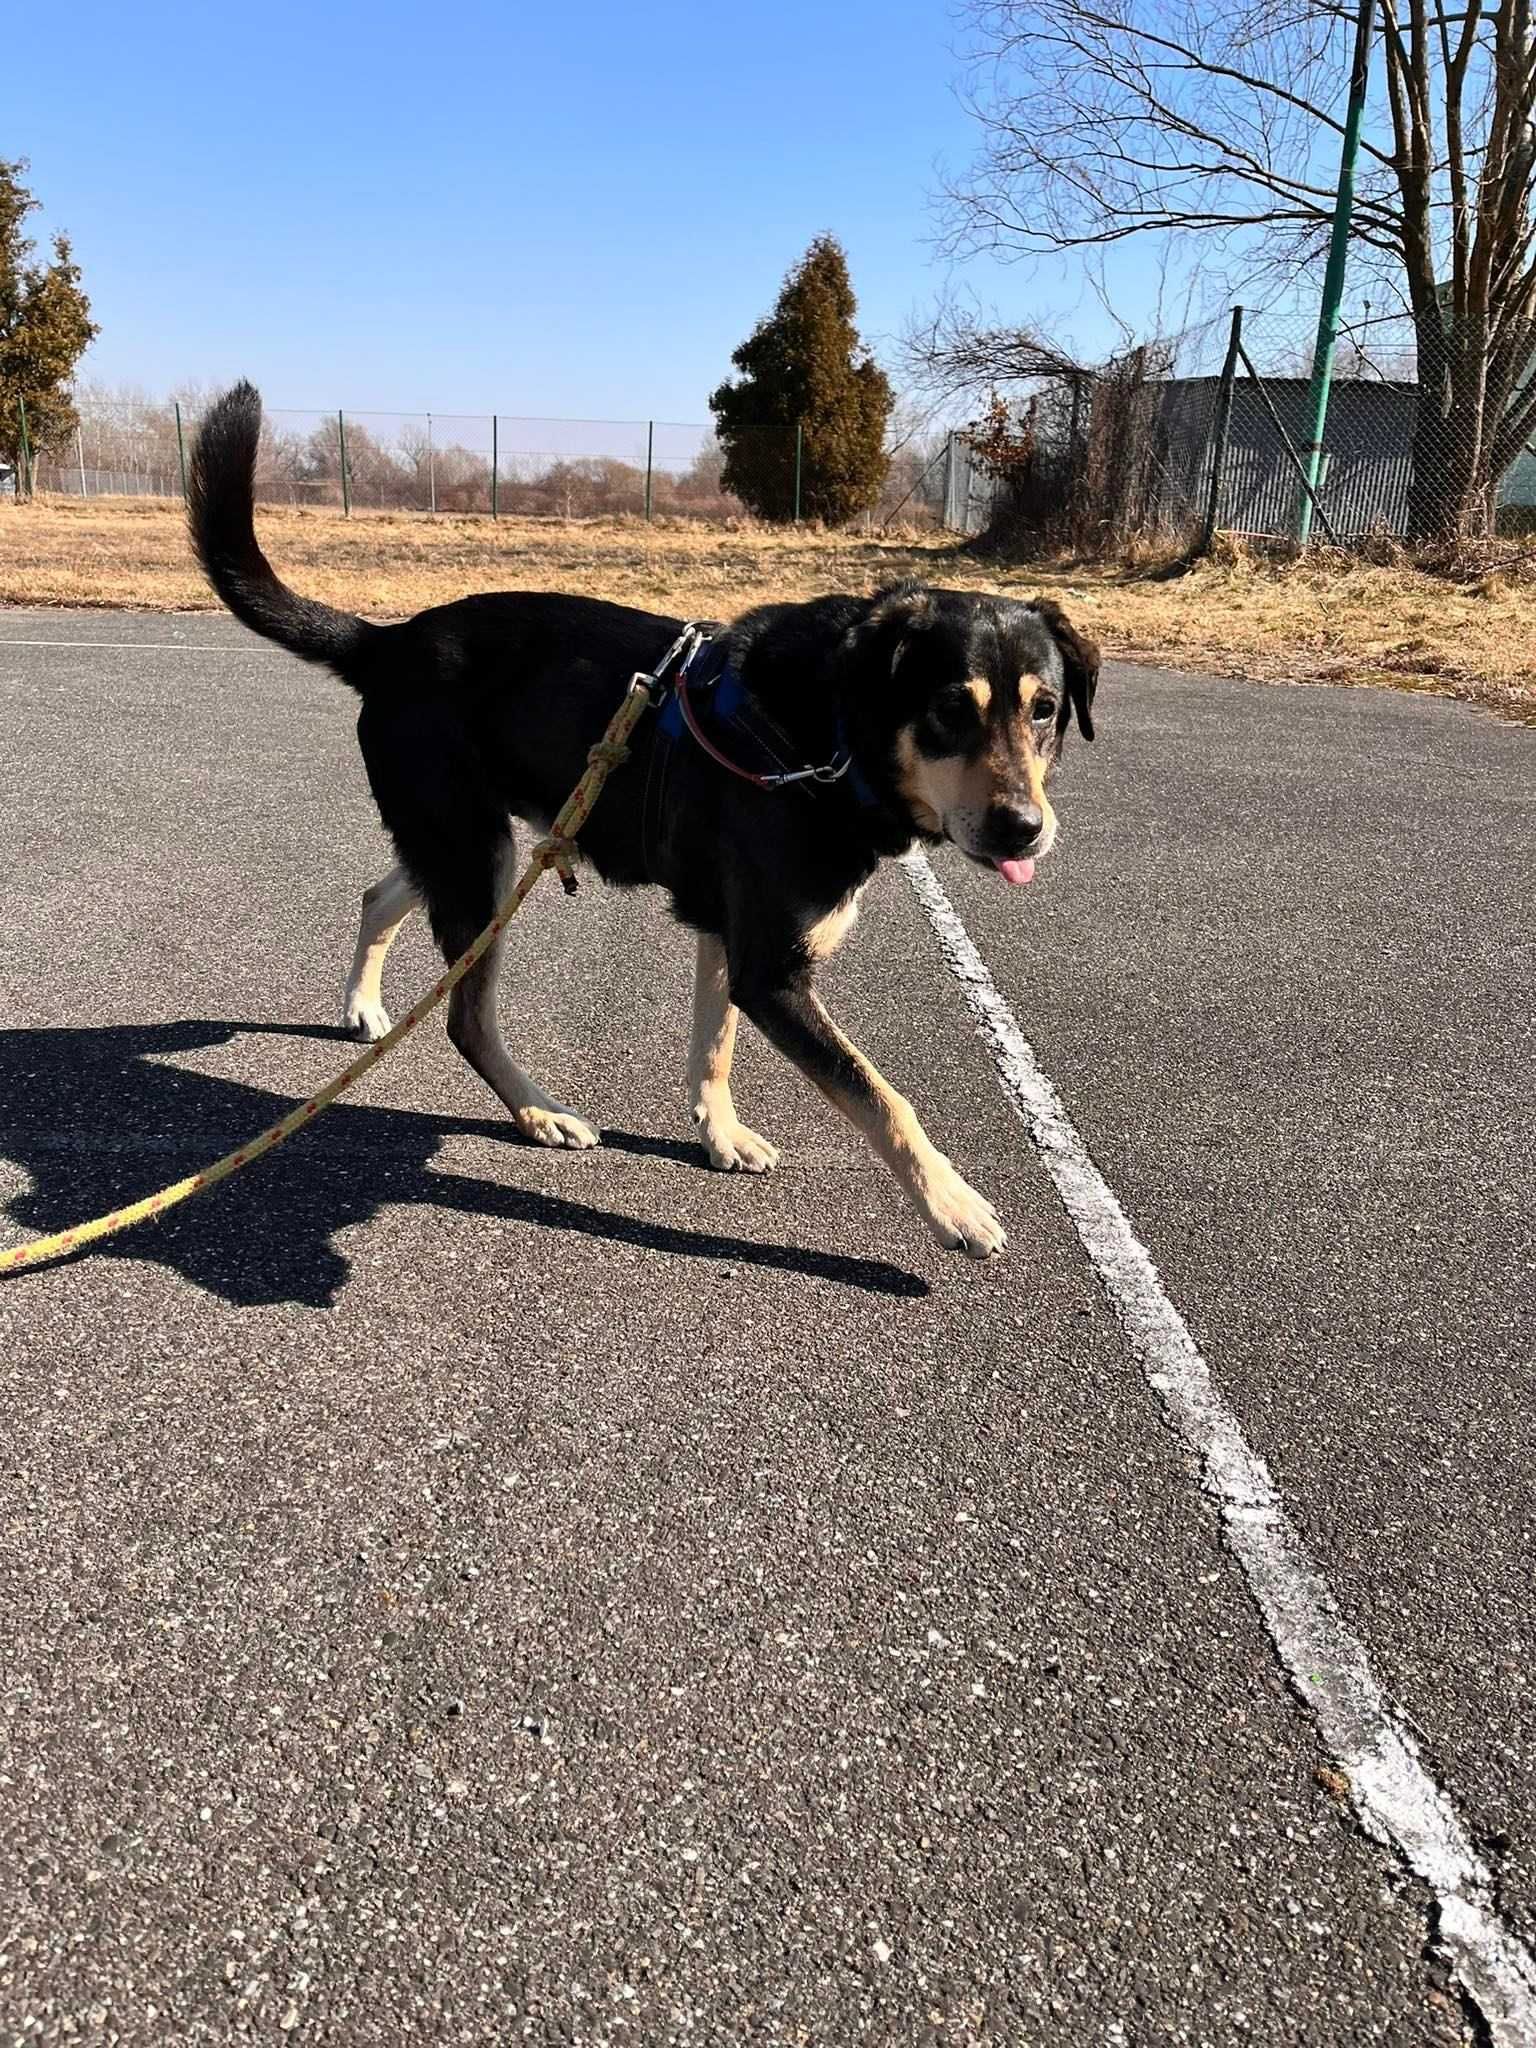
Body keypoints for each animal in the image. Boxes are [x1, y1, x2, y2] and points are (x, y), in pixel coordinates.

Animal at [192, 376, 1097, 1253]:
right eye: (949, 710)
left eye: (1045, 710)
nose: (1025, 828)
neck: (830, 734)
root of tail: (388, 641)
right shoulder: (772, 970)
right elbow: (881, 1095)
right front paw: (953, 1205)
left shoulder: (728, 934)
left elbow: (714, 1046)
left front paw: (719, 1133)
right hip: (475, 857)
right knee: (464, 1017)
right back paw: (537, 1110)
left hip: (462, 845)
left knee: (381, 898)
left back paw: (365, 1007)